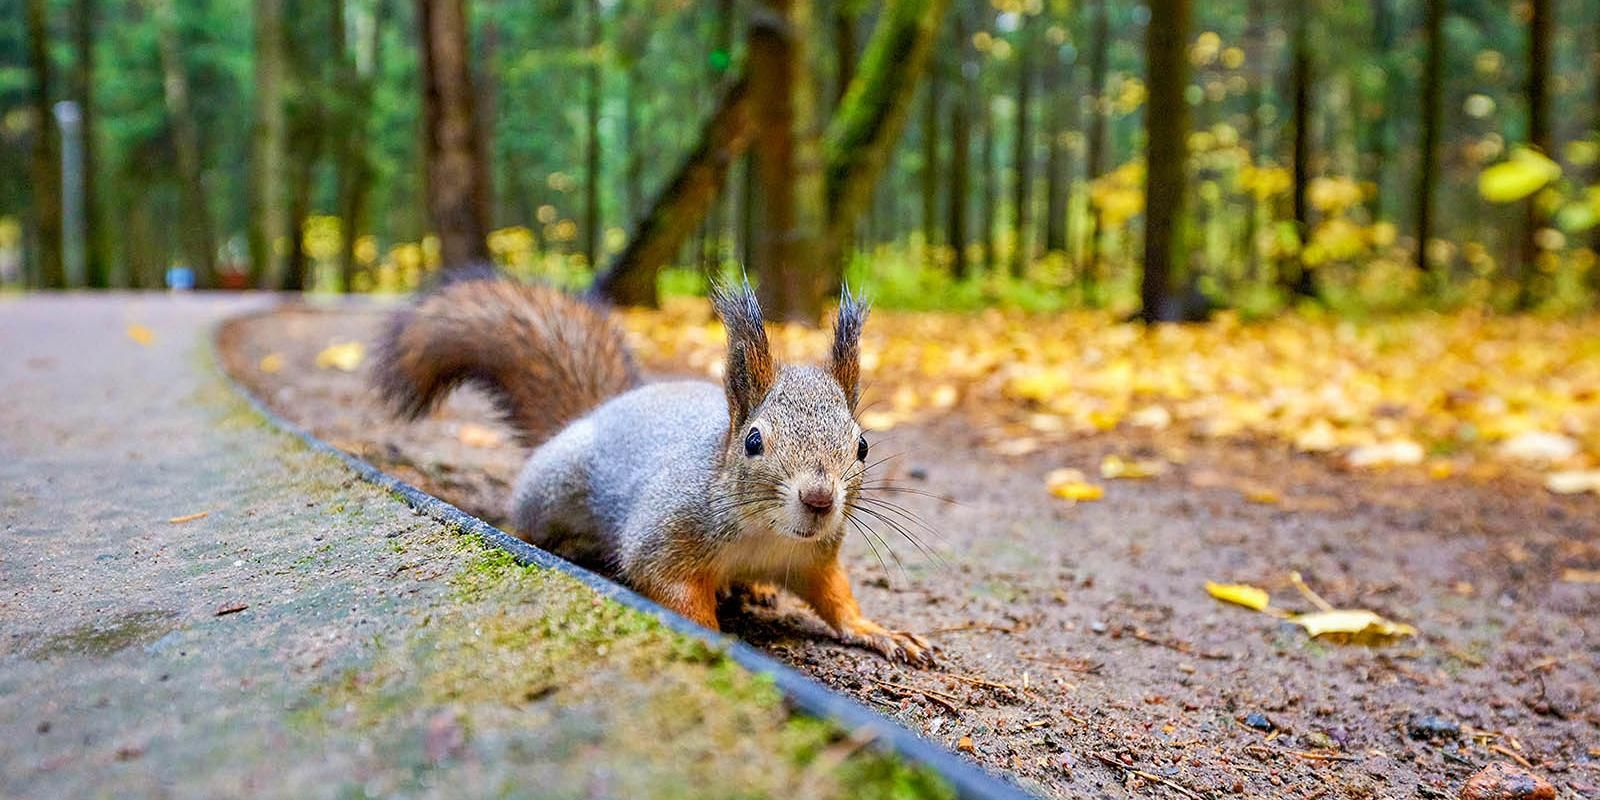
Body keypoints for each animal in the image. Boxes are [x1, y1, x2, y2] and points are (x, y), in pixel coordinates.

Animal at [371, 272, 934, 665]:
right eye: (753, 441)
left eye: (862, 446)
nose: (819, 499)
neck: (766, 535)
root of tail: (596, 411)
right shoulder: (664, 535)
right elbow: (669, 586)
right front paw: (716, 633)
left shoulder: (815, 558)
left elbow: (836, 598)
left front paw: (878, 631)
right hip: (551, 489)